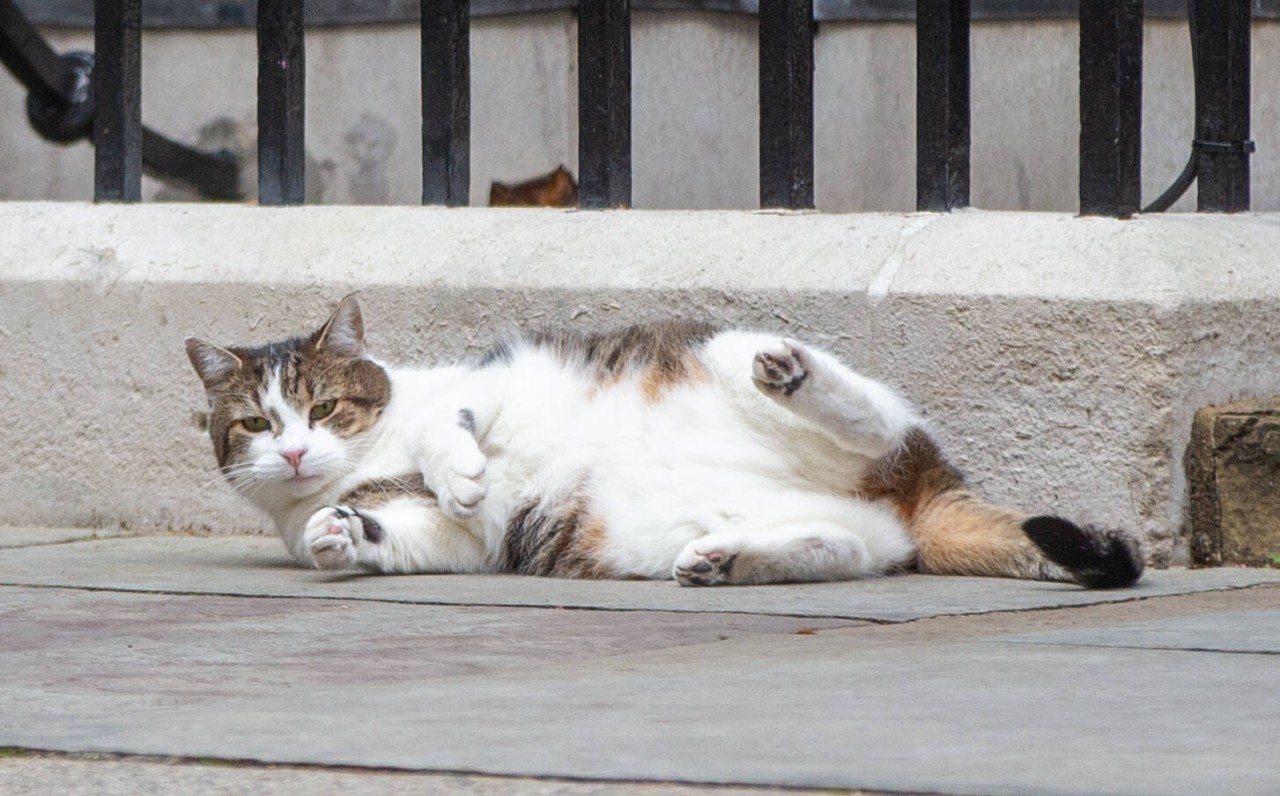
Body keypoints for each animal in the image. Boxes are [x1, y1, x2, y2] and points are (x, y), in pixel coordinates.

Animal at [185, 296, 1146, 588]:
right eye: (257, 424)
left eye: (324, 407)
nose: (297, 453)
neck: (362, 461)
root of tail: (915, 489)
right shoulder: (465, 543)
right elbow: (405, 530)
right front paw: (339, 533)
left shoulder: (475, 389)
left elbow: (439, 430)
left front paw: (457, 469)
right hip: (674, 527)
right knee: (841, 547)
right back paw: (730, 561)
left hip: (738, 359)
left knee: (872, 419)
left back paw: (796, 376)